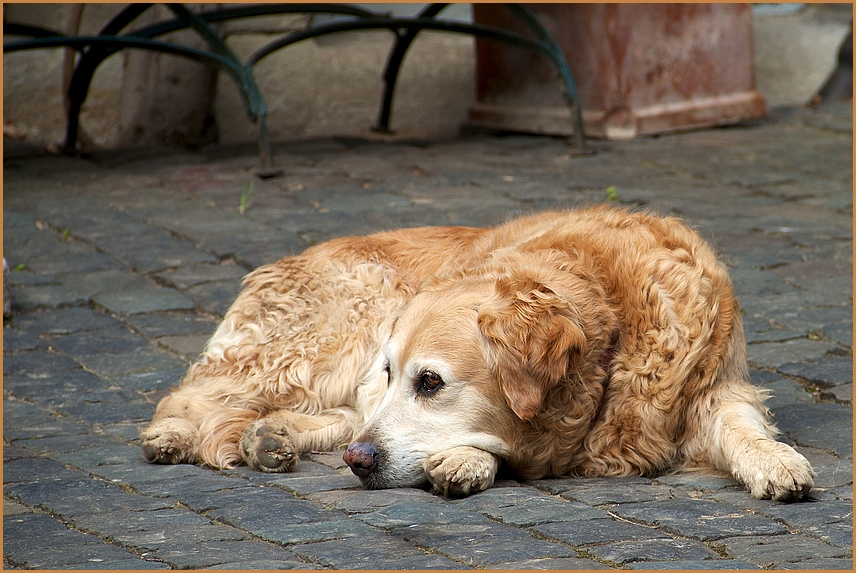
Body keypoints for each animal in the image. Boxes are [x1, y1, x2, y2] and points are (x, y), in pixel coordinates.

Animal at [142, 207, 816, 500]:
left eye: (430, 382)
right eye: (399, 374)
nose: (361, 465)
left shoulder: (715, 385)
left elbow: (742, 426)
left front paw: (775, 462)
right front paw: (465, 461)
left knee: (338, 419)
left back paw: (271, 437)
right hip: (340, 328)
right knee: (196, 393)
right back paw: (173, 436)